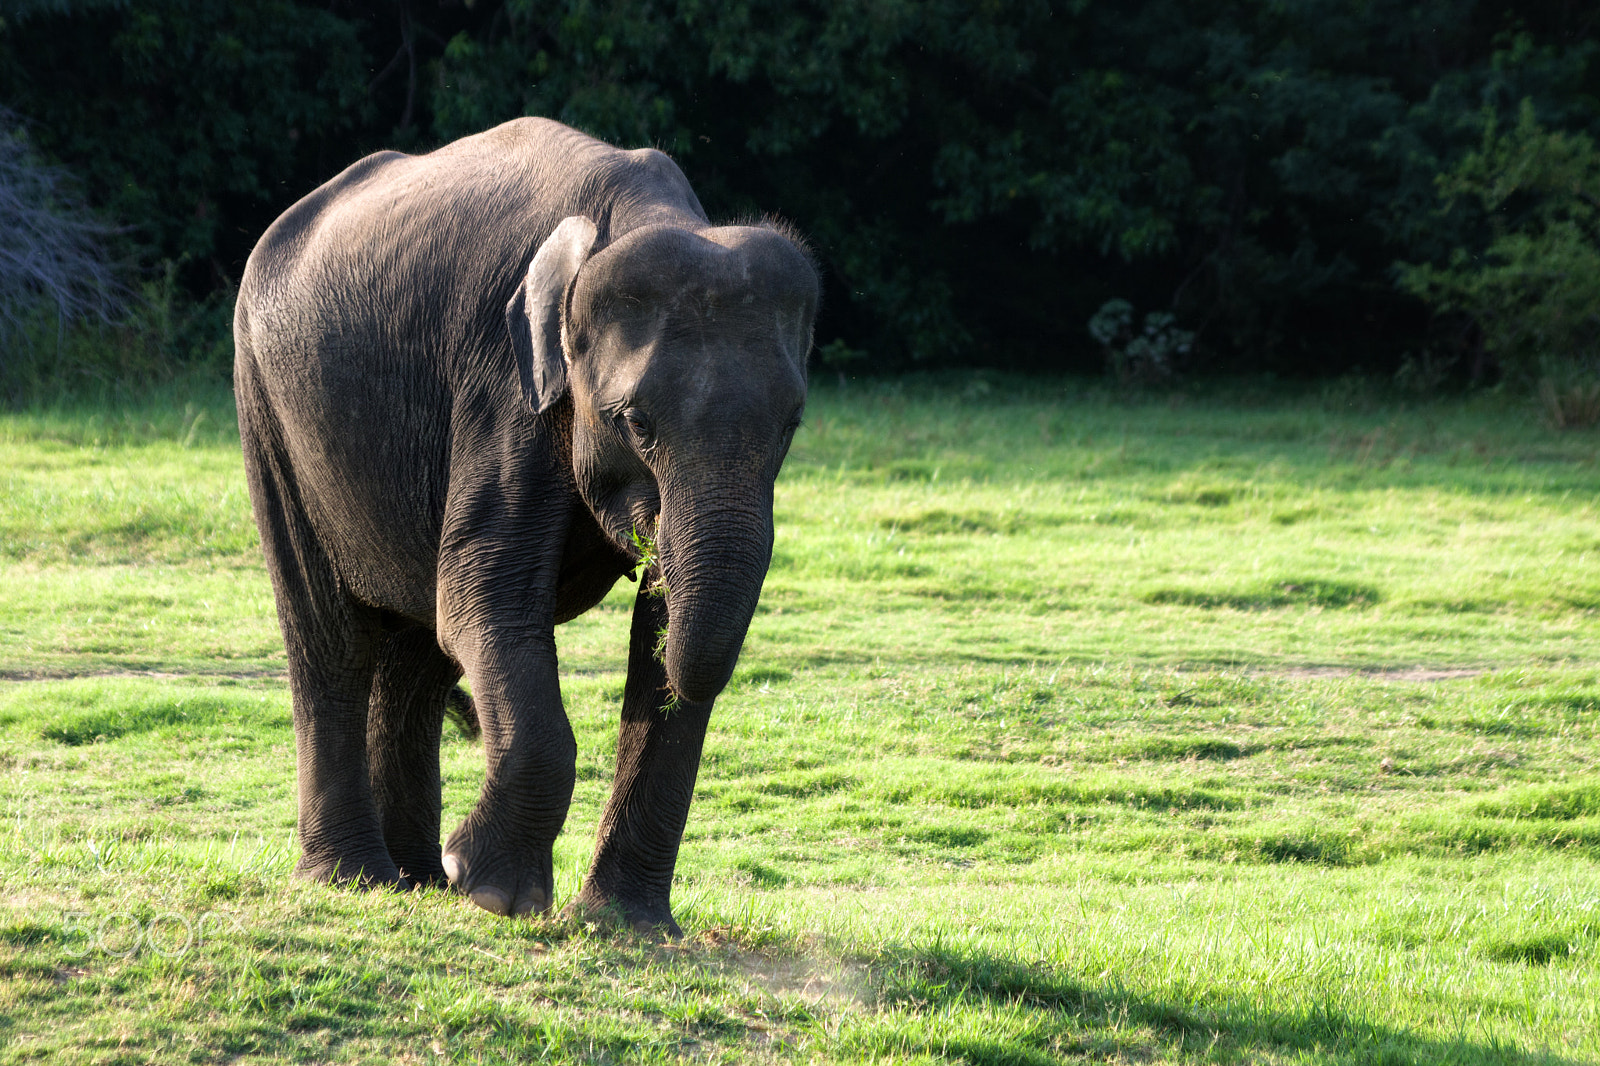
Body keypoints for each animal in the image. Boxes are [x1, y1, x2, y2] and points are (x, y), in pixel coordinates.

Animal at [232, 118, 819, 928]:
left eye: (792, 425)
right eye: (636, 423)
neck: (636, 215)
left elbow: (655, 630)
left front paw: (623, 925)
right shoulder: (505, 387)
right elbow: (487, 597)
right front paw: (490, 891)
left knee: (417, 655)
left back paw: (416, 879)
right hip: (267, 408)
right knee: (332, 638)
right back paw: (356, 880)